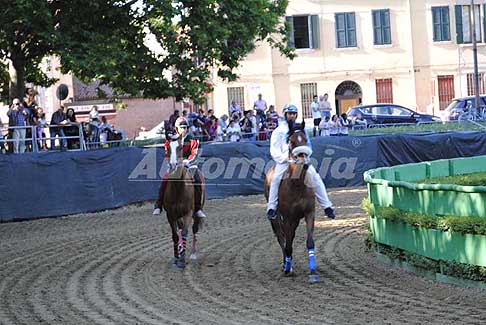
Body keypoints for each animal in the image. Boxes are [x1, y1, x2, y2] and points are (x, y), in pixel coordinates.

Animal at [161, 135, 203, 268]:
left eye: (180, 147)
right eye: (168, 148)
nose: (173, 165)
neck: (178, 189)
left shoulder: (188, 213)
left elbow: (184, 232)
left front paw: (183, 260)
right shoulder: (170, 215)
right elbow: (175, 235)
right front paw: (176, 258)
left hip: (196, 212)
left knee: (194, 229)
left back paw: (193, 253)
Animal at [264, 124, 320, 280]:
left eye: (305, 139)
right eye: (291, 142)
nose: (304, 163)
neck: (297, 185)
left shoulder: (309, 213)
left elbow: (309, 242)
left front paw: (313, 271)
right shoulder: (287, 217)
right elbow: (287, 244)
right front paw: (288, 268)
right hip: (276, 217)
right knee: (281, 237)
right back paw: (285, 264)